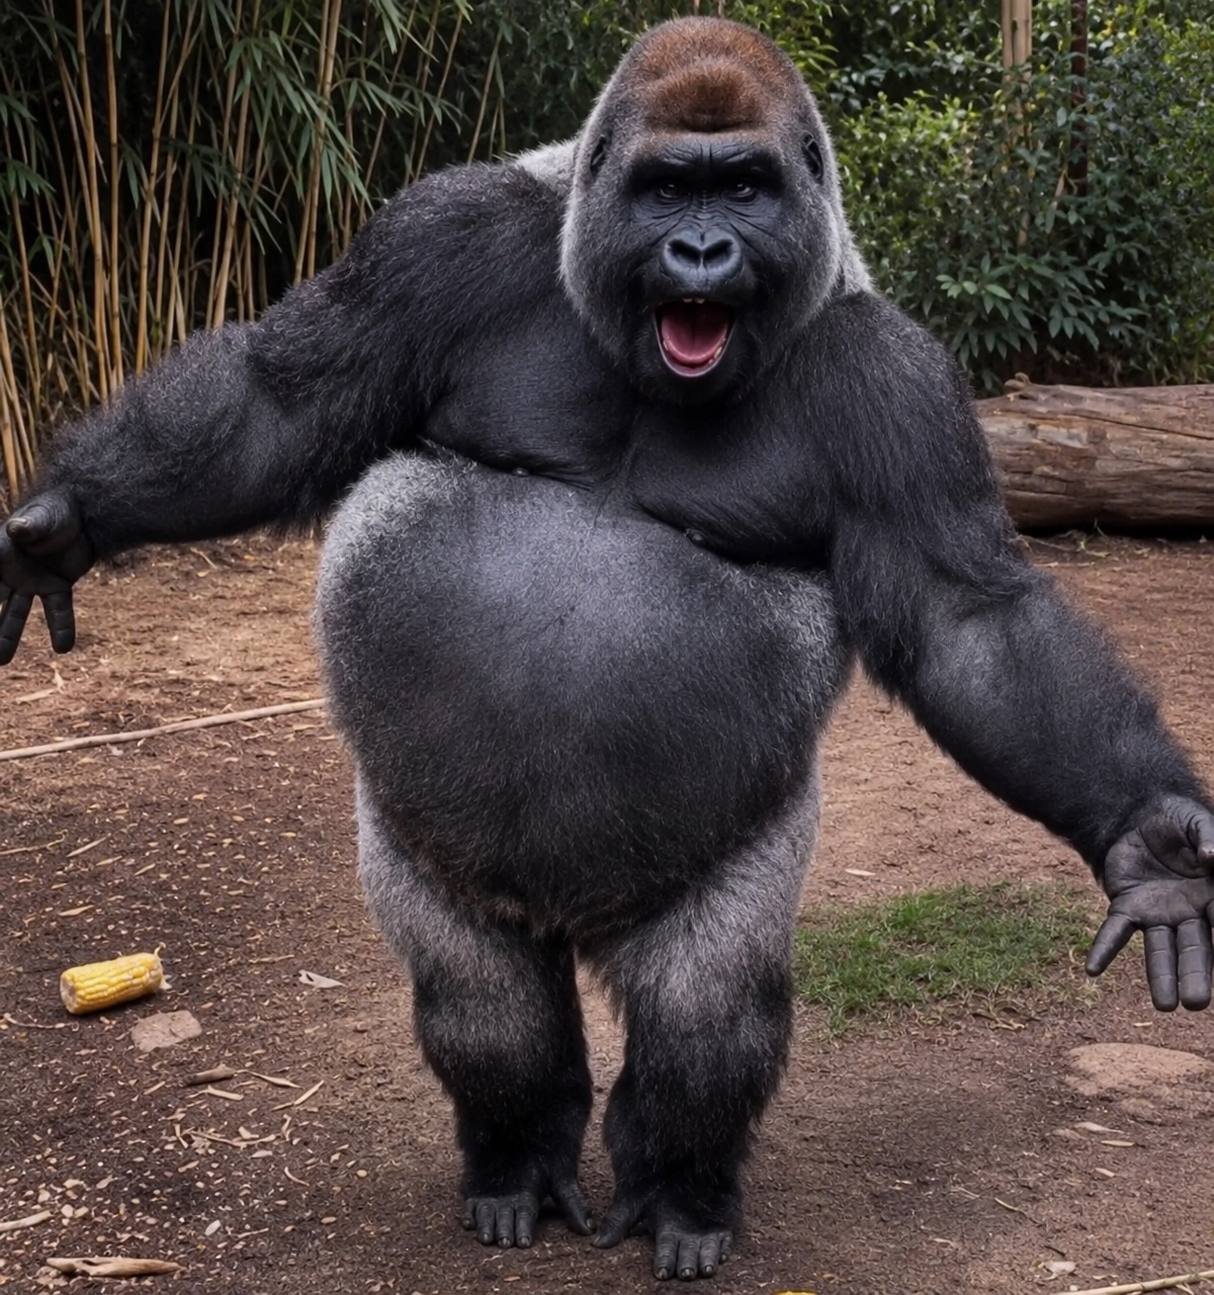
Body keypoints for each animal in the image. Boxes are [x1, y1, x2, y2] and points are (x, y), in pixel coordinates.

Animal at [3, 18, 1212, 1282]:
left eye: (743, 186)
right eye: (667, 188)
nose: (699, 250)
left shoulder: (897, 386)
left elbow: (963, 620)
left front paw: (1149, 845)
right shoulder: (439, 237)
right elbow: (281, 405)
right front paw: (66, 519)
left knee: (703, 1016)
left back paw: (681, 1193)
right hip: (431, 850)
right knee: (484, 1002)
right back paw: (514, 1159)